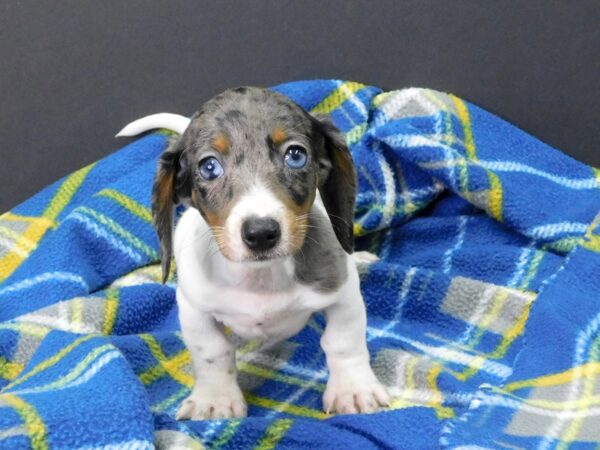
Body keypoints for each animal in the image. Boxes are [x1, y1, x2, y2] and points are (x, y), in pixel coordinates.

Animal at [117, 87, 390, 418]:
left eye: (296, 155)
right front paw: (215, 398)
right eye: (209, 166)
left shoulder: (343, 295)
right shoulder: (193, 308)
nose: (261, 233)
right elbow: (212, 352)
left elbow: (343, 341)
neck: (262, 277)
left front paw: (353, 389)